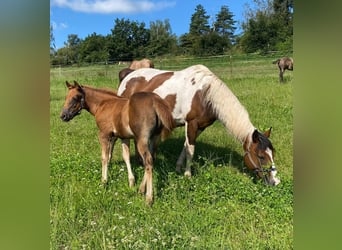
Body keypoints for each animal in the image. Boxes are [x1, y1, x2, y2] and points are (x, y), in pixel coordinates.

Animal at [117, 64, 280, 186]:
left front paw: (178, 167)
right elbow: (191, 149)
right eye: (260, 156)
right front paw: (188, 174)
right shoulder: (191, 123)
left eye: (273, 153)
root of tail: (128, 75)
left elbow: (186, 146)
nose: (275, 181)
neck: (205, 94)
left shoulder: (200, 127)